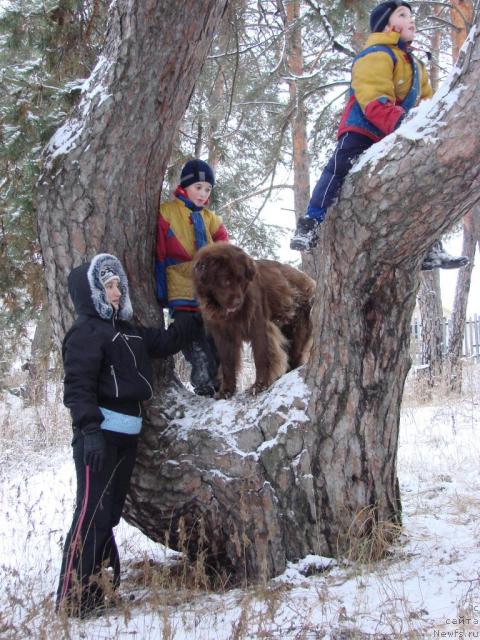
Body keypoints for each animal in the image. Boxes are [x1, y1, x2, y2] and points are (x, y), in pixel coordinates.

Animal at [191, 242, 316, 398]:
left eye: (241, 280)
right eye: (226, 281)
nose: (238, 302)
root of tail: (309, 280)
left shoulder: (258, 326)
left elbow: (261, 356)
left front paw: (259, 386)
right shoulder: (222, 333)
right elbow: (227, 363)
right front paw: (226, 391)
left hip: (298, 327)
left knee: (295, 356)